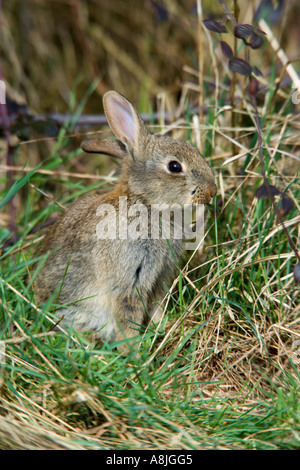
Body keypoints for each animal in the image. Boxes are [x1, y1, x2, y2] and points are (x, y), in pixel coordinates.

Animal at [35, 90, 217, 346]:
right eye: (174, 166)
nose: (212, 191)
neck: (145, 202)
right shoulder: (129, 278)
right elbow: (127, 313)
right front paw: (133, 348)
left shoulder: (159, 276)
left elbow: (156, 305)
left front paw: (161, 327)